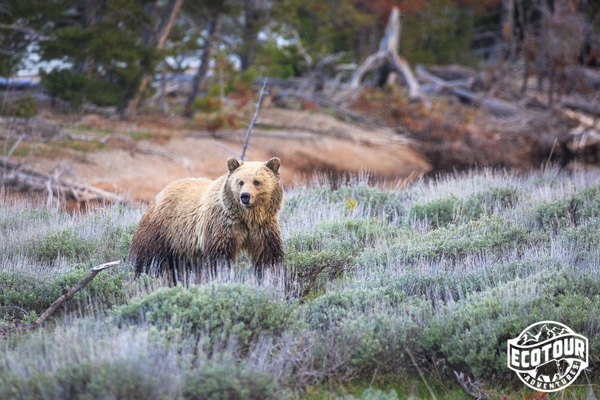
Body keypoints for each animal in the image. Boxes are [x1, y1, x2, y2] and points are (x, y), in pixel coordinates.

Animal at [130, 157, 284, 284]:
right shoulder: (223, 225)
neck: (247, 218)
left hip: (183, 248)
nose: (245, 196)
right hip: (162, 230)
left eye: (257, 181)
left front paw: (271, 276)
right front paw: (222, 276)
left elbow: (268, 255)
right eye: (240, 182)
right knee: (147, 258)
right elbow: (221, 257)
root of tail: (160, 193)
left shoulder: (263, 227)